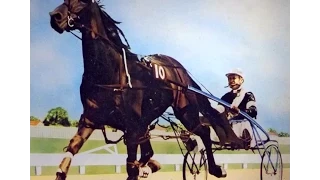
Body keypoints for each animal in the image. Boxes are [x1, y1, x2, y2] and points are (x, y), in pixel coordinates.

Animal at [48, 0, 246, 179]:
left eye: (82, 2)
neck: (110, 72)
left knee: (203, 131)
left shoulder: (133, 128)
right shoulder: (90, 119)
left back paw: (215, 169)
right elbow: (69, 155)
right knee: (150, 151)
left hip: (185, 112)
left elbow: (132, 166)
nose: (55, 16)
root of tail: (179, 68)